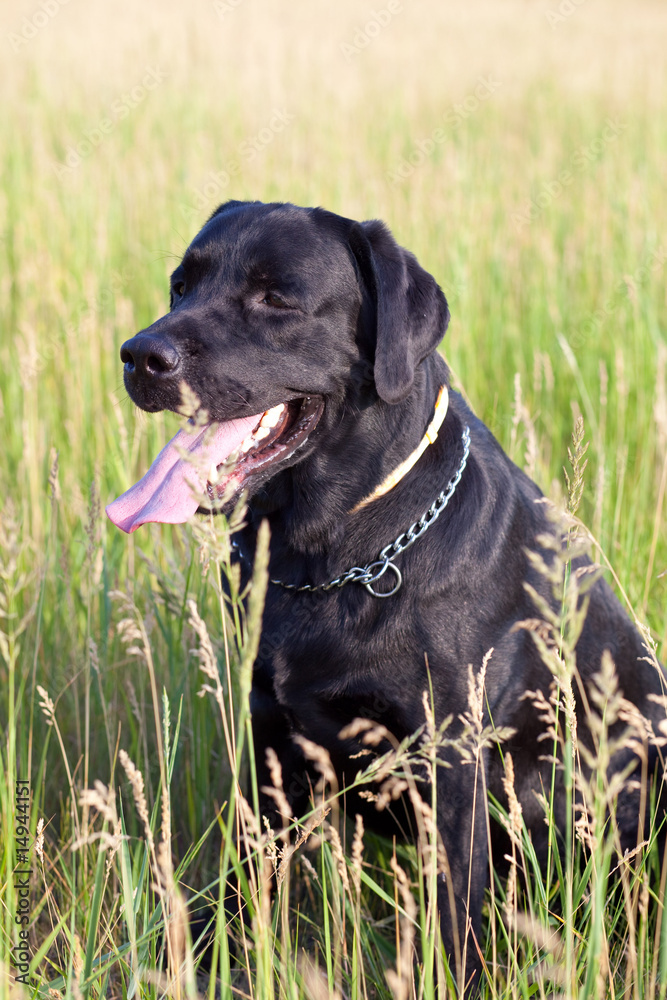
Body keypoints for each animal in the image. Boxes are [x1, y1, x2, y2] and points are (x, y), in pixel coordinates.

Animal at [107, 199, 664, 988]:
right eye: (180, 286)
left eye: (275, 298)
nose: (139, 354)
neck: (330, 554)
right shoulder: (269, 740)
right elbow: (244, 882)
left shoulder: (450, 759)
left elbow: (456, 920)